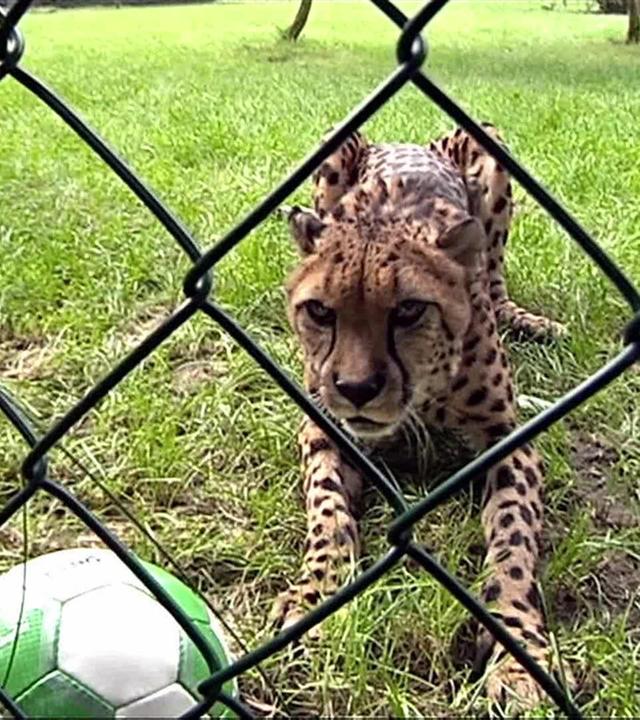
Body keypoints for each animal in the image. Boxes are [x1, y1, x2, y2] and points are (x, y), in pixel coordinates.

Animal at [272, 123, 566, 709]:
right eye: (320, 311)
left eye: (409, 310)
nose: (357, 390)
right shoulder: (320, 425)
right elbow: (327, 509)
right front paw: (314, 593)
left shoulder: (509, 438)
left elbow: (514, 540)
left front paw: (518, 652)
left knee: (495, 279)